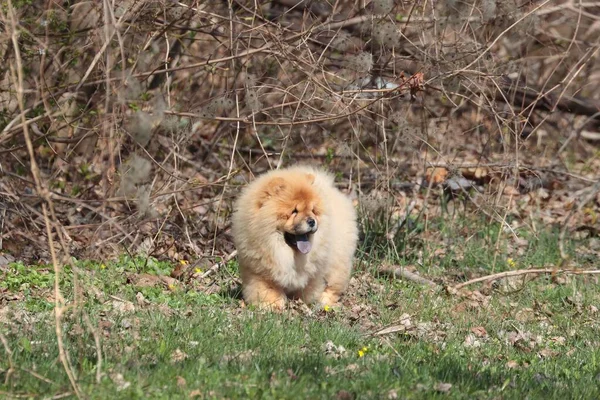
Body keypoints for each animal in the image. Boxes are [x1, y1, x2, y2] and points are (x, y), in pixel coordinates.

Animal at [232, 166, 358, 310]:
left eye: (313, 210)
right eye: (294, 211)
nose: (312, 221)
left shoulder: (314, 273)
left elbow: (309, 288)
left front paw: (304, 303)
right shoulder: (258, 271)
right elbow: (266, 290)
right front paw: (272, 305)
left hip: (338, 262)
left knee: (333, 284)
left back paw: (325, 300)